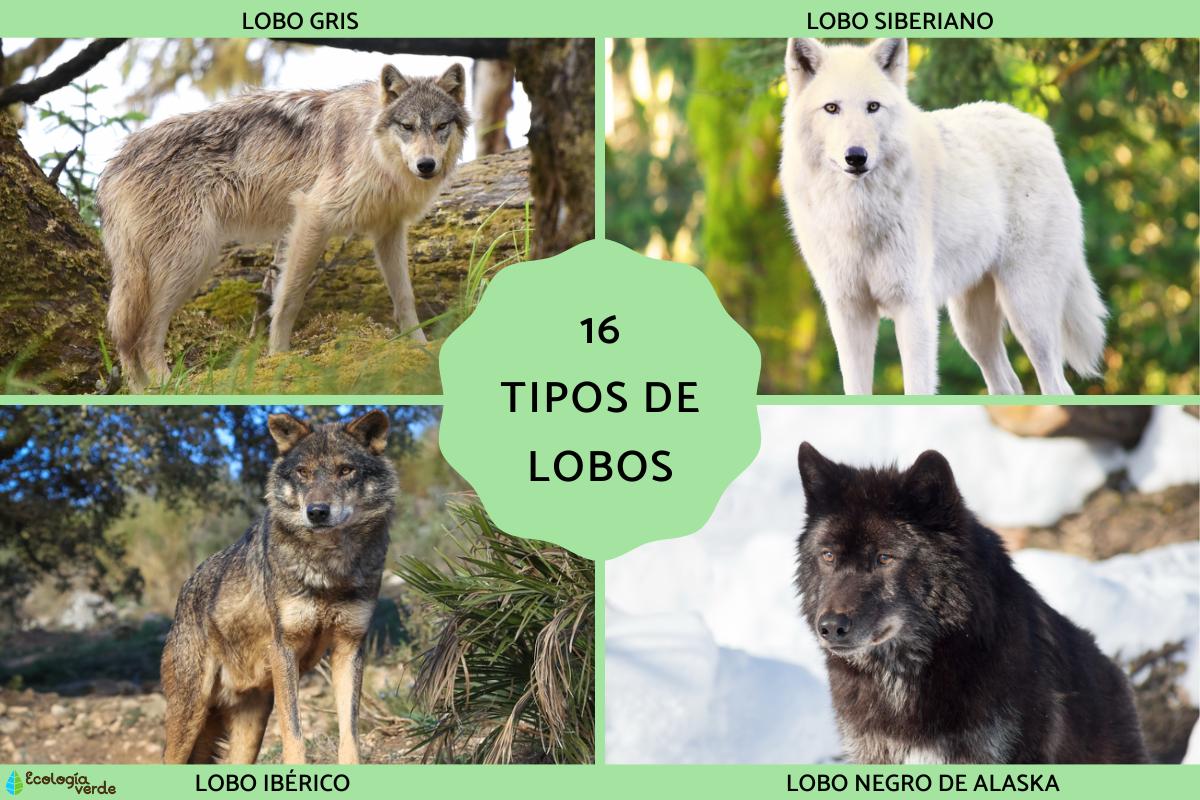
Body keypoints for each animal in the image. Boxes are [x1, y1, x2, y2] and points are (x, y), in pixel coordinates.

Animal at [99, 64, 470, 391]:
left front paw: (420, 348)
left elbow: (405, 298)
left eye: (441, 126)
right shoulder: (312, 216)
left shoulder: (389, 230)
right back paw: (167, 385)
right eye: (407, 126)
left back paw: (140, 390)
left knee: (125, 336)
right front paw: (279, 357)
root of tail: (112, 167)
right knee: (143, 334)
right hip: (190, 261)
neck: (374, 150)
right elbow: (289, 298)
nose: (426, 165)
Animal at [160, 409, 396, 764]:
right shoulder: (285, 649)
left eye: (345, 470)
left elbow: (350, 735)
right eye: (303, 472)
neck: (328, 568)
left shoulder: (349, 647)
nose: (317, 511)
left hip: (249, 730)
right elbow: (294, 735)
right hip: (189, 717)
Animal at [780, 38, 1107, 395]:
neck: (857, 213)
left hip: (1026, 312)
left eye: (873, 107)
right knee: (1008, 385)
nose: (856, 157)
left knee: (1057, 385)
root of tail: (1039, 128)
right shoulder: (849, 311)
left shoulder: (913, 308)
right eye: (831, 108)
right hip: (971, 328)